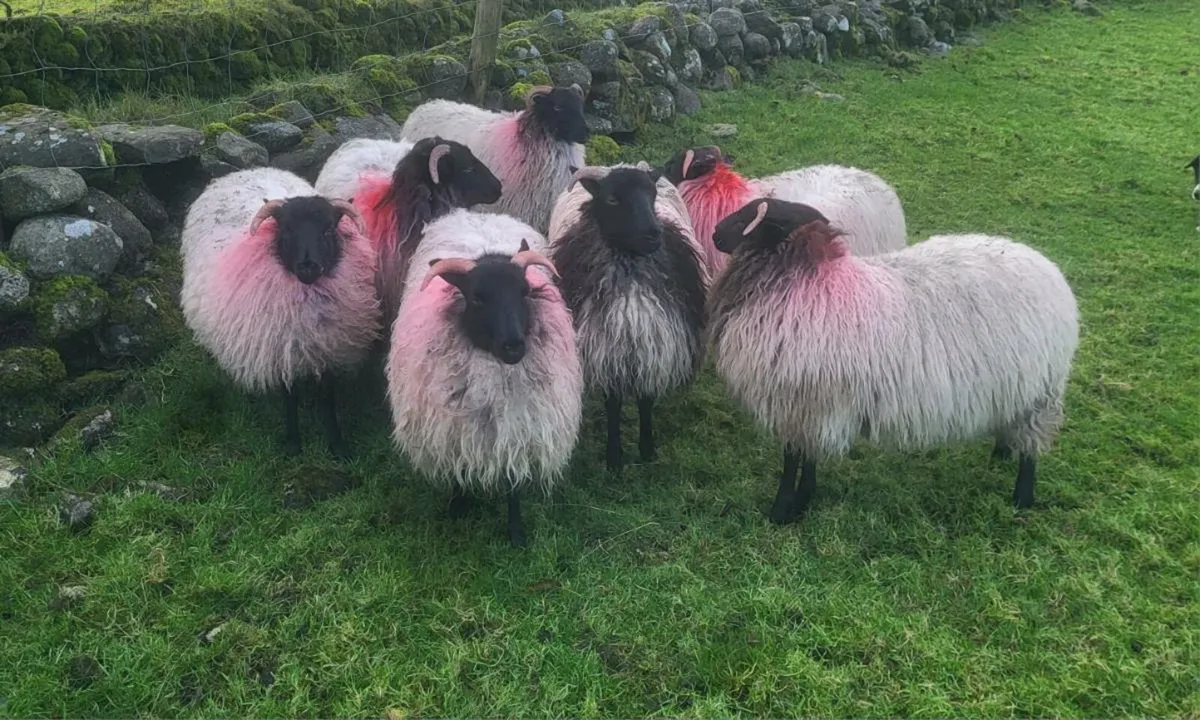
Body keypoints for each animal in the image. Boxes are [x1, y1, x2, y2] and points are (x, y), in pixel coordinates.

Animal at [181, 167, 381, 459]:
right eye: (285, 230)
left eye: (328, 230)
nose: (308, 266)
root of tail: (244, 171)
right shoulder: (282, 350)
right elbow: (290, 397)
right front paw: (293, 443)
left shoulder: (330, 348)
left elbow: (327, 398)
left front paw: (336, 443)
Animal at [387, 209, 582, 547]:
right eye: (477, 298)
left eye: (525, 292)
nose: (514, 345)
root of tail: (475, 213)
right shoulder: (451, 428)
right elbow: (457, 470)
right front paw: (457, 507)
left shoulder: (518, 428)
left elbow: (512, 480)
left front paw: (516, 533)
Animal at [547, 163, 708, 472]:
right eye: (612, 199)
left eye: (652, 194)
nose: (653, 235)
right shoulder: (608, 352)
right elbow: (613, 404)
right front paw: (614, 459)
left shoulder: (653, 345)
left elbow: (646, 401)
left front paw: (647, 449)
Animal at [708, 198, 1079, 524]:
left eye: (751, 217)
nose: (714, 233)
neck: (806, 281)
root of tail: (1049, 270)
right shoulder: (808, 408)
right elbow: (804, 459)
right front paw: (800, 502)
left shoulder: (804, 405)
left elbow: (794, 460)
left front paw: (785, 509)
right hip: (1017, 386)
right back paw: (1002, 451)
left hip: (1041, 392)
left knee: (1031, 450)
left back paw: (1022, 498)